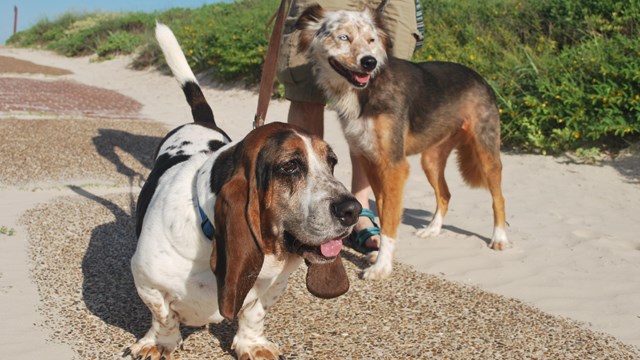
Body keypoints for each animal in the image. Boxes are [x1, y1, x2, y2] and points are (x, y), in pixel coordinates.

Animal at [126, 23, 360, 358]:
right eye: (290, 166)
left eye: (332, 162)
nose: (352, 210)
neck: (208, 229)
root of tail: (203, 124)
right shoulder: (146, 281)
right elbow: (163, 316)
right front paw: (160, 343)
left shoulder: (273, 286)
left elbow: (255, 313)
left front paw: (252, 345)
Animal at [296, 4, 510, 282]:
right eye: (343, 37)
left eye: (371, 40)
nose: (369, 62)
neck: (367, 89)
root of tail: (480, 77)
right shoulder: (371, 161)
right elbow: (384, 211)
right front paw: (380, 257)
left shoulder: (394, 166)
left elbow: (389, 221)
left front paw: (382, 267)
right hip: (431, 159)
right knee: (445, 194)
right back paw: (432, 229)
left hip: (486, 152)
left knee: (498, 198)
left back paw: (499, 238)